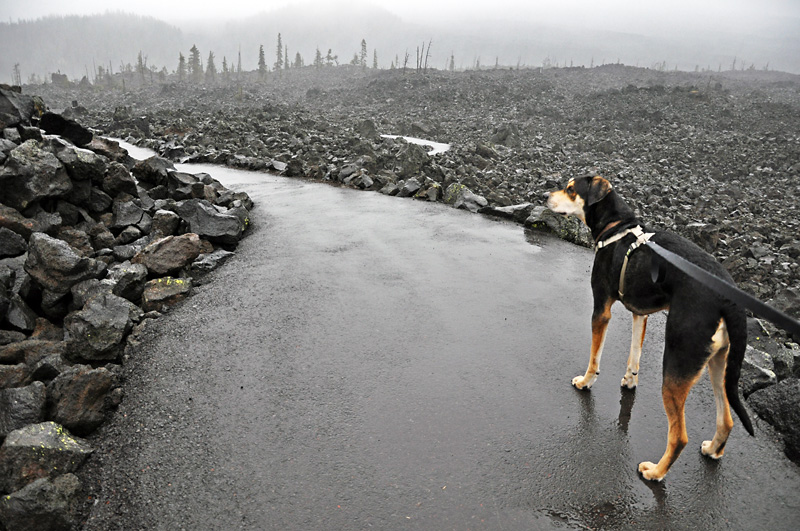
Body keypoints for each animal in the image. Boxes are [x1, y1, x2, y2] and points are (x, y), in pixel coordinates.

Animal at [544, 175, 756, 482]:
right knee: (726, 419)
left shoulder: (601, 309)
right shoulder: (639, 313)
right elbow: (635, 353)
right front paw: (630, 380)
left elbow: (595, 356)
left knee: (679, 436)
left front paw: (586, 382)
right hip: (718, 362)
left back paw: (655, 472)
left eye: (571, 189)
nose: (544, 196)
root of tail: (729, 299)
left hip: (677, 364)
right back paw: (712, 450)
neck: (617, 226)